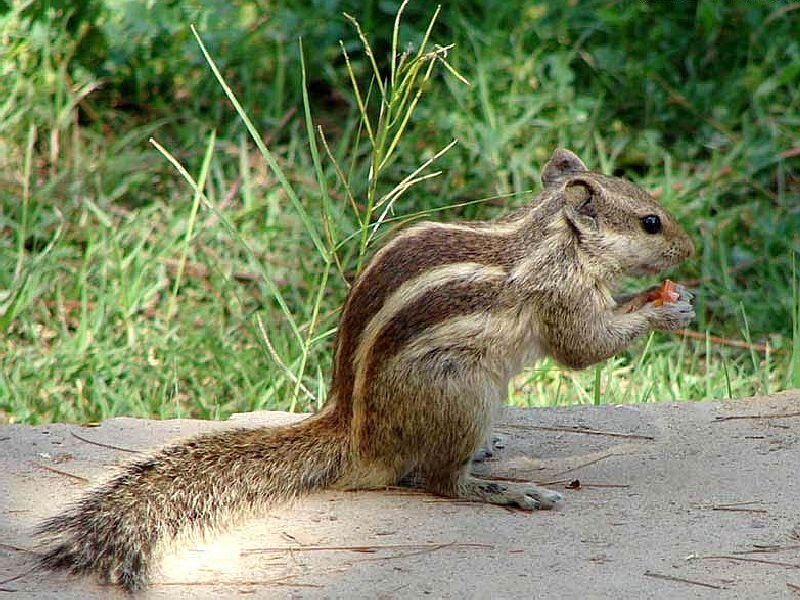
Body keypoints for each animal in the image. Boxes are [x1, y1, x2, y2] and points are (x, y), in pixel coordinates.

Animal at [36, 148, 695, 591]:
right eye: (651, 222)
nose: (692, 251)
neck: (550, 237)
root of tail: (353, 431)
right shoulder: (560, 295)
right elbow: (583, 348)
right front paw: (663, 308)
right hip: (463, 392)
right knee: (439, 482)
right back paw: (505, 490)